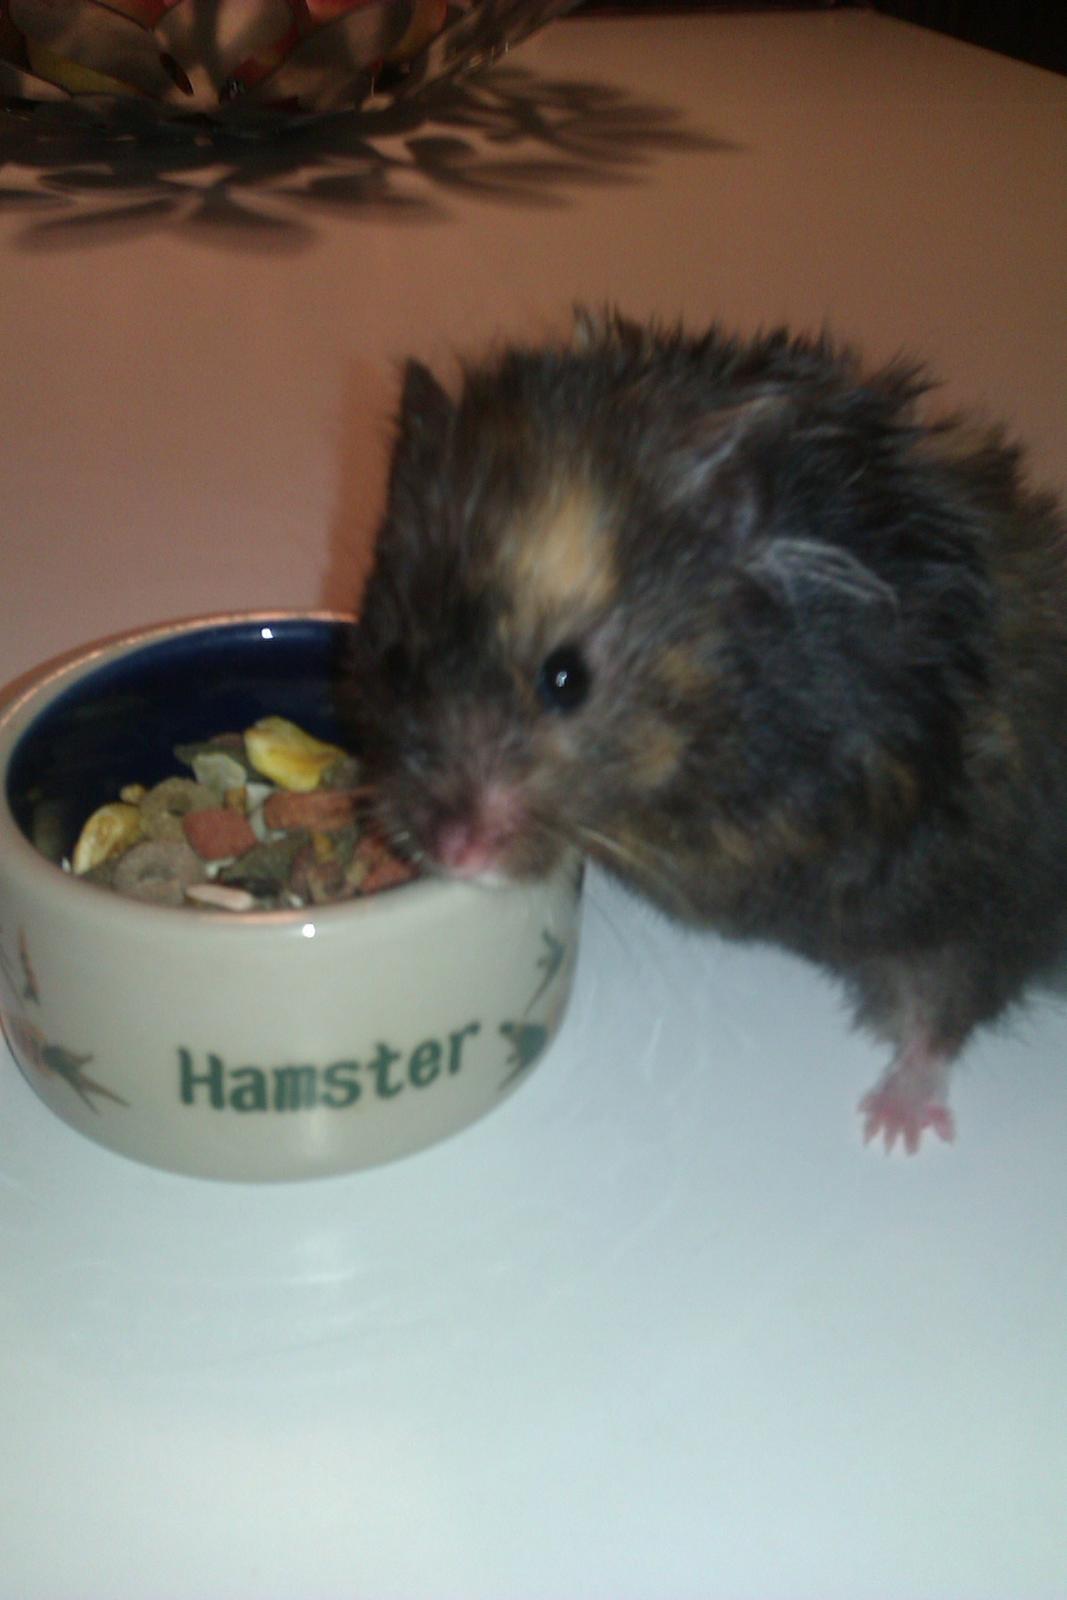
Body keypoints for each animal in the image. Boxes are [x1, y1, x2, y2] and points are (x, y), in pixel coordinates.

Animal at [346, 309, 1067, 1152]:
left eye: (566, 678)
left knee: (948, 997)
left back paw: (893, 1127)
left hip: (982, 886)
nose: (454, 853)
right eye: (395, 662)